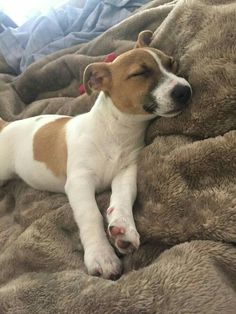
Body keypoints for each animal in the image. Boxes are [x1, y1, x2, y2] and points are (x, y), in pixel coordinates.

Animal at [0, 30, 192, 278]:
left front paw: (123, 228)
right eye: (140, 73)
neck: (115, 132)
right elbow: (90, 214)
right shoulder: (79, 181)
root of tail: (5, 125)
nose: (185, 90)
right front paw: (101, 254)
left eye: (172, 64)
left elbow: (124, 196)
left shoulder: (125, 172)